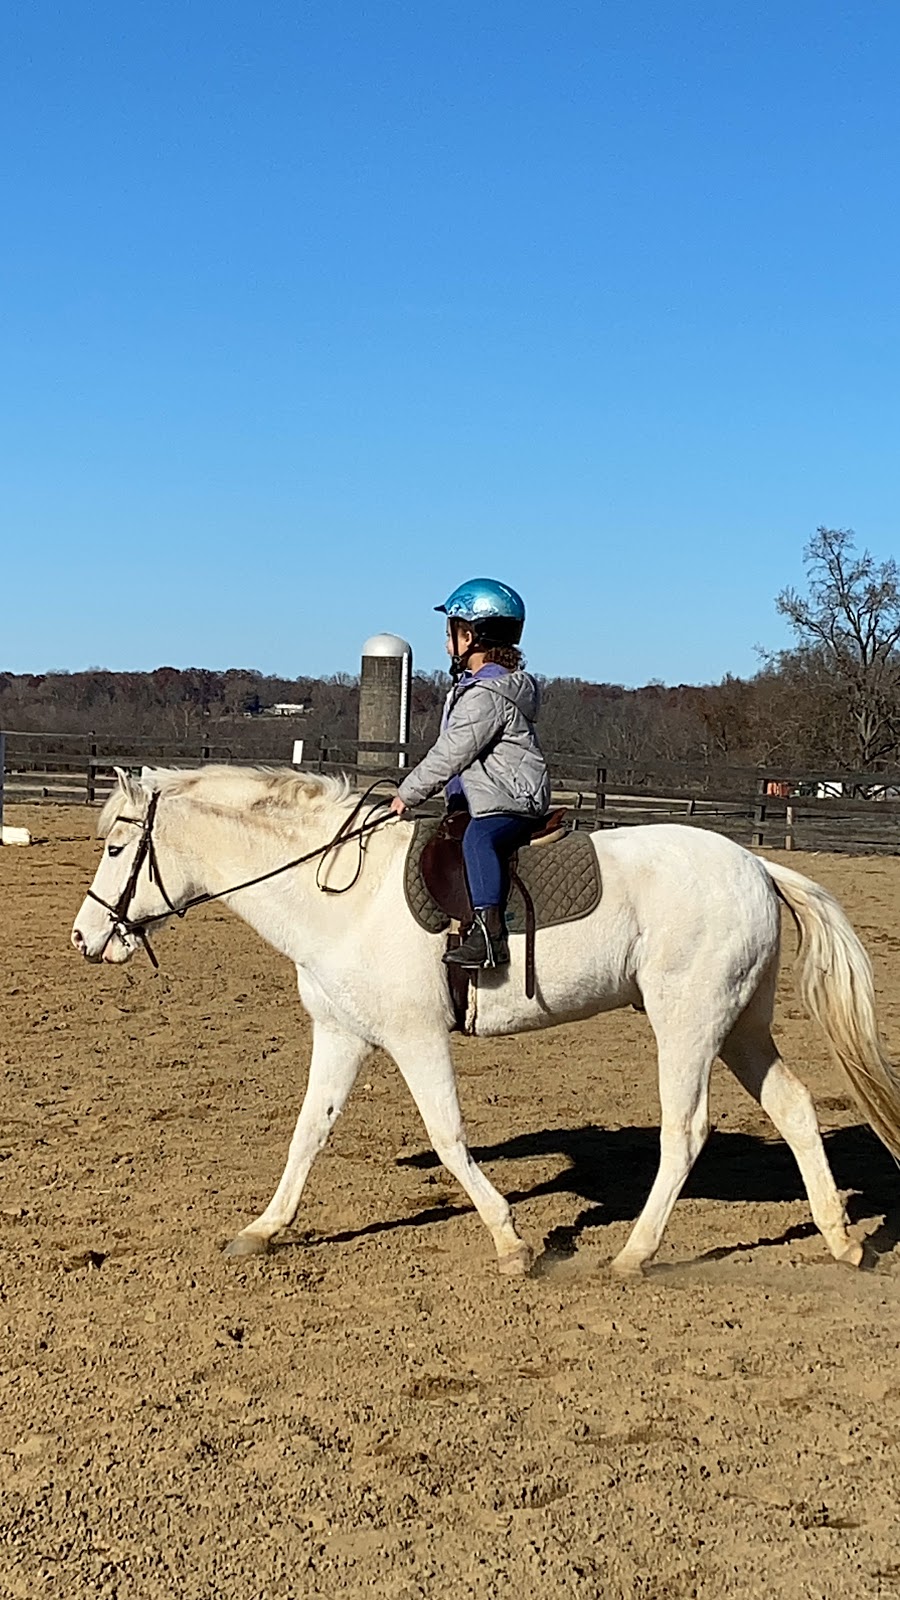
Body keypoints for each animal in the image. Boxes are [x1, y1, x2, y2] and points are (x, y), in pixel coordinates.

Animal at [71, 761, 896, 1273]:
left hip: (688, 1026)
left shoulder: (414, 1038)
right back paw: (842, 1242)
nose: (83, 939)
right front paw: (263, 1230)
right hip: (740, 1026)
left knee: (686, 1130)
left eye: (115, 847)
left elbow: (447, 1138)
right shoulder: (342, 1036)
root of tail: (756, 864)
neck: (344, 895)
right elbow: (308, 1134)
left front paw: (511, 1244)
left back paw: (634, 1255)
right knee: (794, 1109)